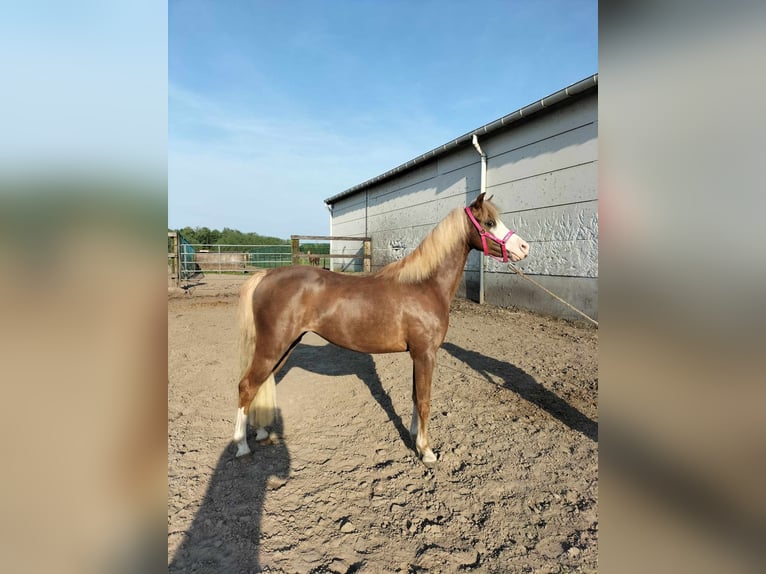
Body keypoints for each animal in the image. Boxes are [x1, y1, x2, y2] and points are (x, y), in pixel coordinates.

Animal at [234, 194, 532, 468]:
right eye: (489, 222)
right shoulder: (426, 354)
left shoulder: (418, 355)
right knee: (246, 386)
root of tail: (266, 276)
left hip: (285, 347)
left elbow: (415, 396)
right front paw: (427, 451)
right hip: (273, 347)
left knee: (259, 384)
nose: (524, 247)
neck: (425, 285)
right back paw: (242, 446)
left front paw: (414, 436)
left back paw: (261, 433)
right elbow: (425, 400)